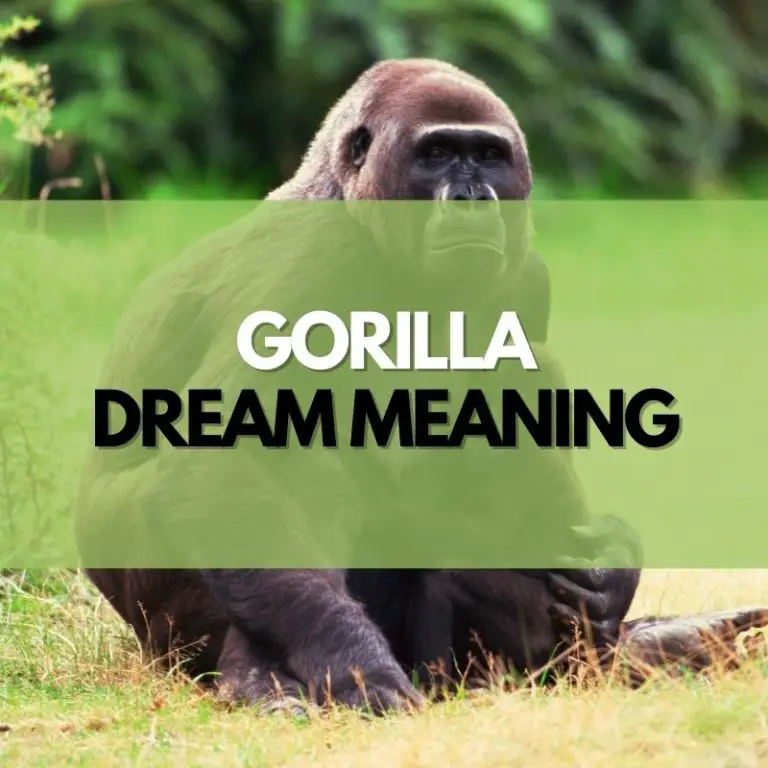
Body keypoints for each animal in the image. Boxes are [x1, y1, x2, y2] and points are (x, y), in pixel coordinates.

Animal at [76, 58, 644, 716]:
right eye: (436, 154)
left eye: (487, 155)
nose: (473, 198)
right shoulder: (315, 258)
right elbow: (224, 463)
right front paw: (355, 664)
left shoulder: (526, 272)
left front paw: (611, 575)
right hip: (158, 631)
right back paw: (255, 674)